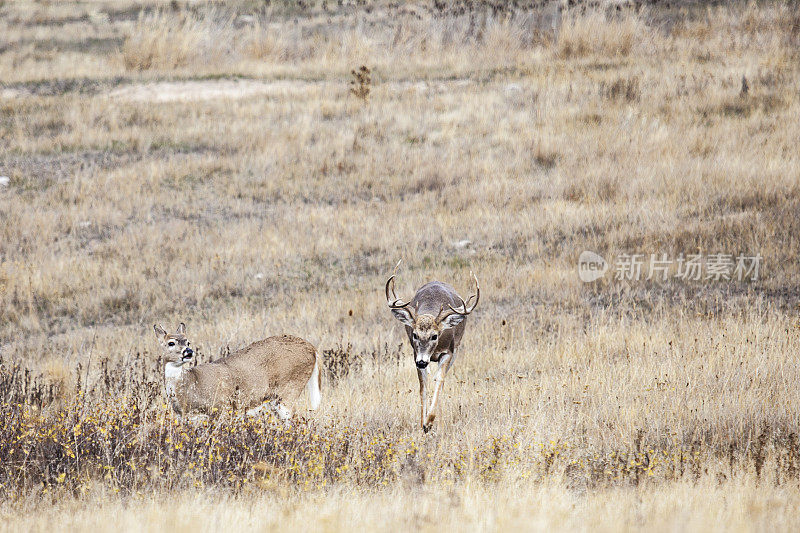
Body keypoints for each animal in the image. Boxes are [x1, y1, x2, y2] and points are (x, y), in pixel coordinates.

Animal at [153, 322, 322, 422]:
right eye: (171, 343)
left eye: (188, 341)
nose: (188, 352)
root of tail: (312, 348)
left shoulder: (221, 408)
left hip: (288, 390)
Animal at [384, 262, 478, 432]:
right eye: (415, 334)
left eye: (435, 336)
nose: (422, 362)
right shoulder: (416, 354)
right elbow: (423, 387)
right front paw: (423, 424)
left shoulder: (448, 351)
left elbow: (439, 380)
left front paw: (429, 421)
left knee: (441, 380)